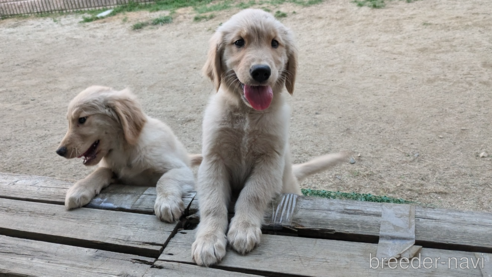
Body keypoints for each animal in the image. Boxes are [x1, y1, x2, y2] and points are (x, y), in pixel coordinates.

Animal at [55, 86, 198, 222]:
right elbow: (101, 170)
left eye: (82, 119)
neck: (125, 150)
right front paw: (79, 188)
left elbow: (165, 179)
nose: (59, 151)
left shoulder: (180, 168)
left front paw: (167, 203)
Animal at [190, 9, 348, 266]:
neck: (248, 114)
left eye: (275, 43)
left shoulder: (270, 160)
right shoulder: (213, 160)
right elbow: (213, 203)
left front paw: (243, 229)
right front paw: (208, 240)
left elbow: (251, 194)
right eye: (239, 42)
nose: (261, 71)